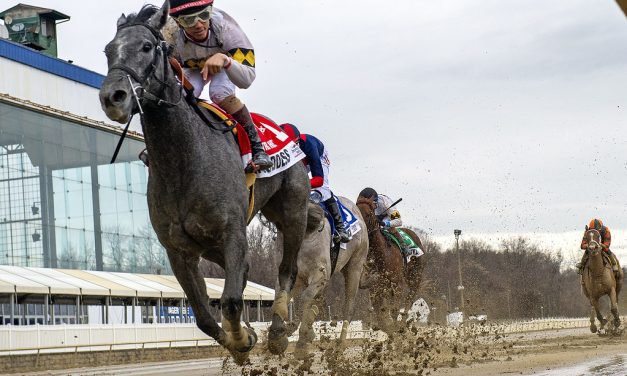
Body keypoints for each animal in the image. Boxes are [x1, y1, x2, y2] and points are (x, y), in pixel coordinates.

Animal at [98, 2, 312, 362]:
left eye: (146, 47)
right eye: (108, 51)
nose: (113, 96)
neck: (184, 164)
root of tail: (285, 130)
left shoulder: (232, 232)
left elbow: (232, 301)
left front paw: (245, 338)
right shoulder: (178, 250)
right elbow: (203, 316)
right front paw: (241, 341)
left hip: (292, 212)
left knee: (286, 270)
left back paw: (279, 332)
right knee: (247, 270)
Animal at [274, 197, 368, 358]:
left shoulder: (319, 274)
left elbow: (306, 297)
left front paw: (301, 341)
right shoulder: (295, 276)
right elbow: (280, 297)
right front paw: (277, 338)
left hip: (355, 267)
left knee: (348, 307)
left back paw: (339, 347)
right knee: (316, 299)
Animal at [358, 195, 426, 330]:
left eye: (368, 214)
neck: (380, 253)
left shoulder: (397, 282)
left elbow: (394, 310)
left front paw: (395, 328)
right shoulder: (375, 285)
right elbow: (379, 311)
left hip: (414, 277)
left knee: (409, 299)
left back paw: (403, 322)